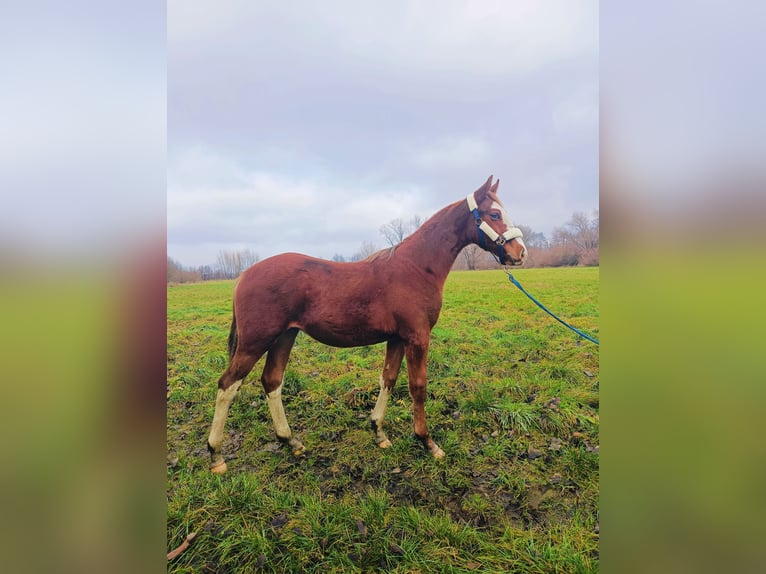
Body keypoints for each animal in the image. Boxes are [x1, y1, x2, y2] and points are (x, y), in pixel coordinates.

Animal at [207, 175, 527, 473]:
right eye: (494, 214)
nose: (520, 253)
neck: (415, 267)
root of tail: (244, 274)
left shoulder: (397, 338)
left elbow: (388, 379)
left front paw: (379, 432)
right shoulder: (417, 337)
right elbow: (418, 386)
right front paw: (427, 442)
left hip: (285, 336)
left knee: (271, 381)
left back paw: (291, 442)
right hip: (255, 342)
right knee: (228, 385)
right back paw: (216, 455)